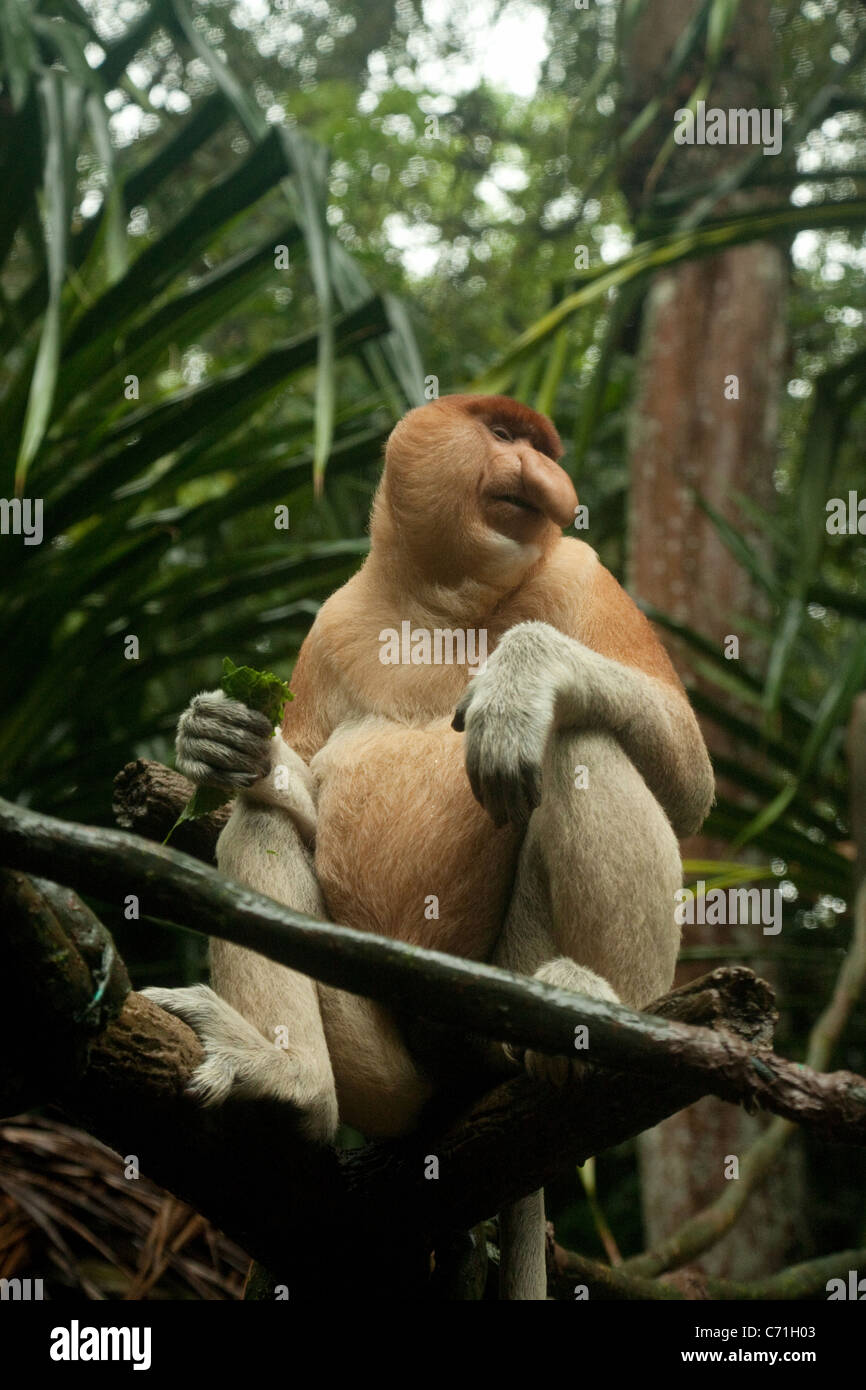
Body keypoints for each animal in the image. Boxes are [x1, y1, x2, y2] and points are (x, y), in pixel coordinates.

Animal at [143, 394, 717, 1301]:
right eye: (505, 436)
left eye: (541, 446)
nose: (548, 477)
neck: (441, 598)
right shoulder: (333, 622)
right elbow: (297, 791)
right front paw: (221, 738)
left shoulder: (581, 572)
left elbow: (688, 776)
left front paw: (518, 682)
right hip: (390, 1074)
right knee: (261, 826)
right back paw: (293, 1082)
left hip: (505, 988)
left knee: (582, 740)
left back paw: (596, 1005)